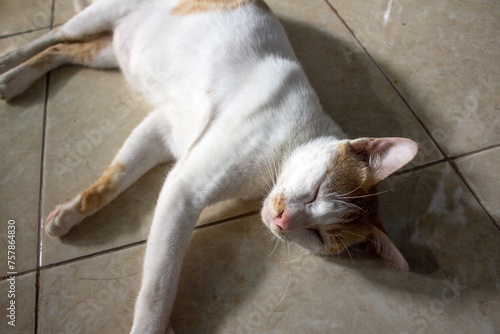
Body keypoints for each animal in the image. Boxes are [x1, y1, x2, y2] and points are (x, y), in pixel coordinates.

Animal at [0, 0, 418, 334]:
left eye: (318, 236)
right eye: (317, 191)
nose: (283, 221)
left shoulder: (162, 129)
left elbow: (113, 179)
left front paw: (70, 213)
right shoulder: (184, 189)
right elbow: (159, 283)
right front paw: (151, 326)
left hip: (111, 52)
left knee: (65, 50)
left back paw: (17, 78)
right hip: (99, 15)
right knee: (55, 34)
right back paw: (9, 64)